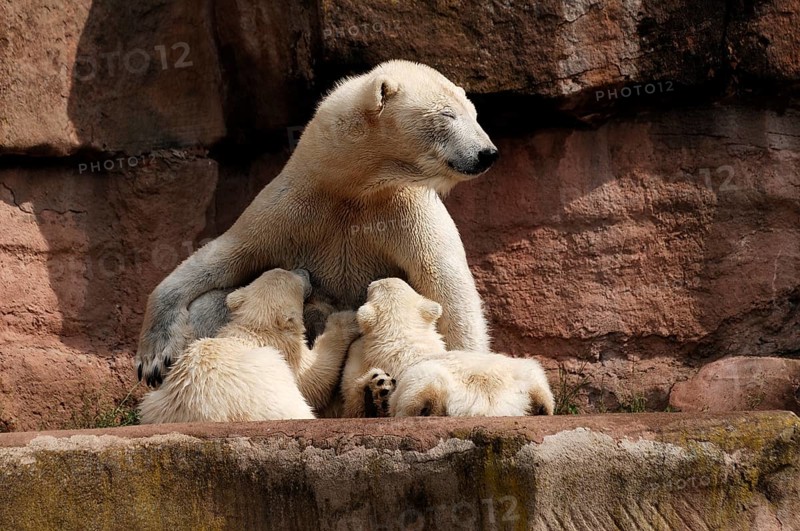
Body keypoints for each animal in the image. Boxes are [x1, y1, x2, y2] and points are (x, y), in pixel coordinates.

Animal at [136, 59, 498, 386]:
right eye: (447, 114)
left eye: (474, 114)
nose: (487, 153)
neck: (353, 187)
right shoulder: (294, 205)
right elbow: (225, 257)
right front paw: (154, 359)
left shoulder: (405, 209)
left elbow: (446, 285)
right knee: (209, 305)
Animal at [138, 268, 360, 423]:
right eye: (296, 277)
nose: (305, 271)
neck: (253, 330)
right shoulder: (286, 353)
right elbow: (316, 377)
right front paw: (347, 319)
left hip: (156, 404)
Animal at [341, 278, 555, 418]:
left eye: (372, 289)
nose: (374, 280)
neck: (406, 342)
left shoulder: (359, 353)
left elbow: (351, 400)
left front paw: (377, 385)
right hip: (521, 372)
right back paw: (542, 408)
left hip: (421, 382)